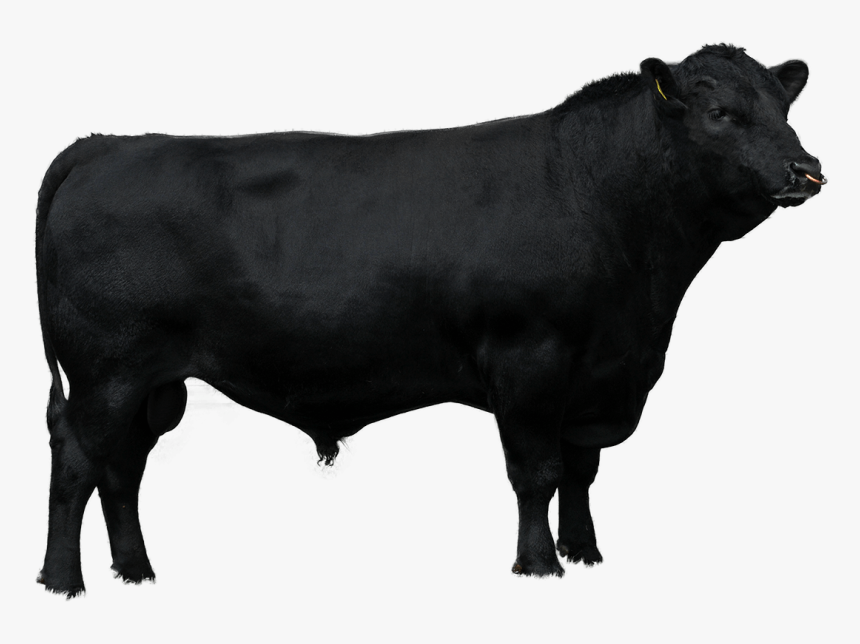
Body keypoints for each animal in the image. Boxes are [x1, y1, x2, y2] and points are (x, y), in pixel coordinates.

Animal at [35, 44, 824, 597]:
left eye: (784, 111)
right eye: (723, 114)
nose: (806, 169)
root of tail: (109, 143)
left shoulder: (598, 372)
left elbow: (581, 470)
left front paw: (586, 552)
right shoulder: (531, 359)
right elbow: (536, 471)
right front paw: (539, 565)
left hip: (151, 385)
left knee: (123, 468)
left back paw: (136, 571)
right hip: (106, 371)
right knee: (78, 461)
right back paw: (64, 582)